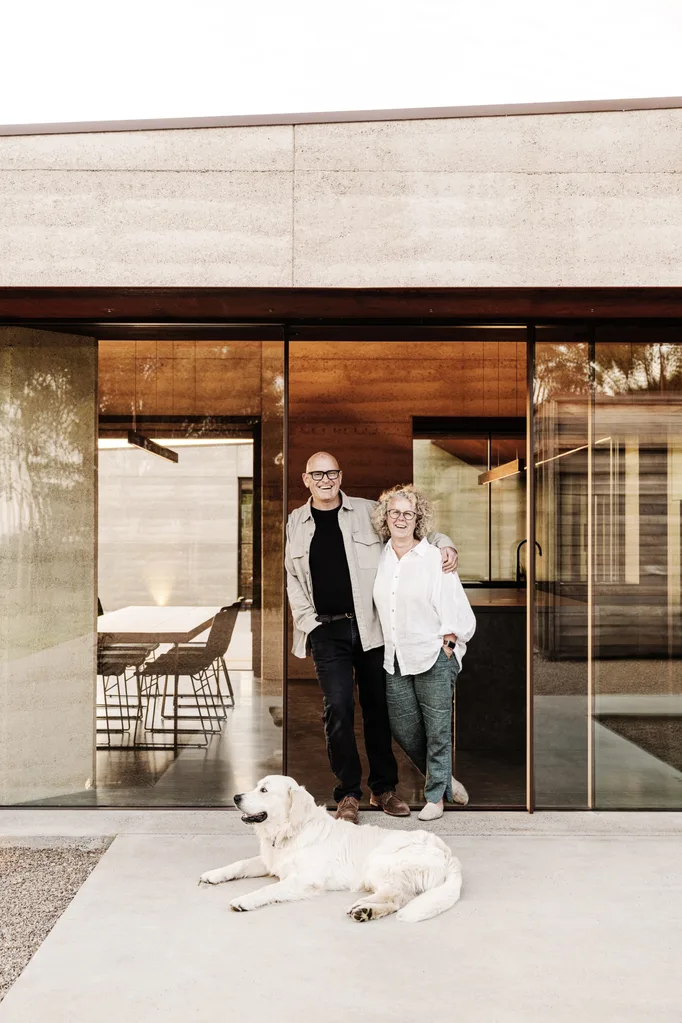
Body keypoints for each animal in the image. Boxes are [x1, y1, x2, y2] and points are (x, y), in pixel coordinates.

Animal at [198, 773, 464, 920]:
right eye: (255, 786)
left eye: (264, 790)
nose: (235, 797)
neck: (291, 831)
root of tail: (449, 855)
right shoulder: (270, 861)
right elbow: (239, 864)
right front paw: (213, 875)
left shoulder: (305, 879)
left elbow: (268, 890)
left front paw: (245, 899)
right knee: (398, 899)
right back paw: (366, 911)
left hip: (380, 863)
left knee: (395, 895)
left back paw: (362, 906)